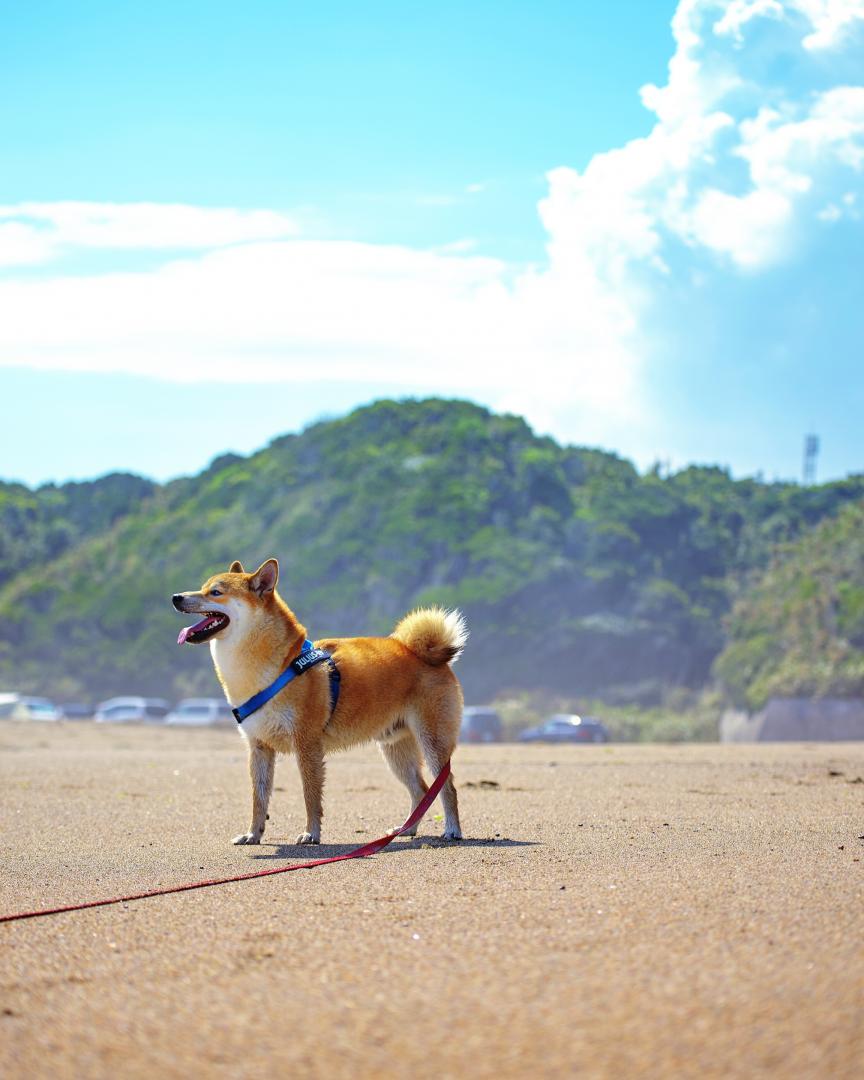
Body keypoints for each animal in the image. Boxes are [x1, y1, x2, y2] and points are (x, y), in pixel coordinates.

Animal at [170, 561, 466, 846]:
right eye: (203, 587)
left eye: (215, 592)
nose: (176, 597)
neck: (276, 667)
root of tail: (421, 653)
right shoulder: (259, 747)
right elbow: (259, 799)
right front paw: (253, 834)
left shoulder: (307, 743)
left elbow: (310, 795)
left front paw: (311, 834)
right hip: (395, 748)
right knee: (422, 791)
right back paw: (407, 830)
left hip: (432, 742)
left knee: (446, 787)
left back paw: (452, 830)